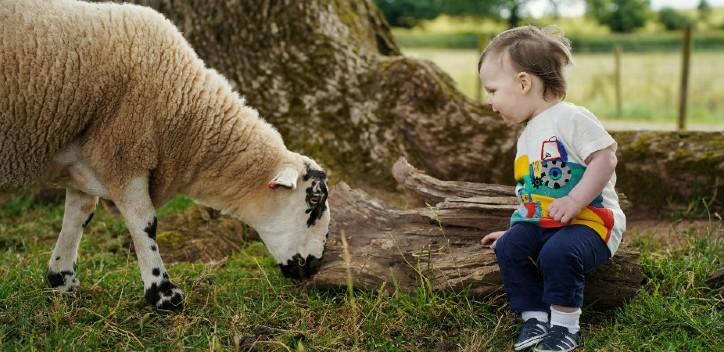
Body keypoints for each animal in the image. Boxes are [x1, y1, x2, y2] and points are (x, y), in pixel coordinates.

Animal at [0, 0, 332, 310]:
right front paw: (163, 294)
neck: (186, 115)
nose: (315, 266)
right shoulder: (126, 150)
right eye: (313, 202)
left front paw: (62, 279)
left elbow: (79, 214)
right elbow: (145, 222)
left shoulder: (86, 155)